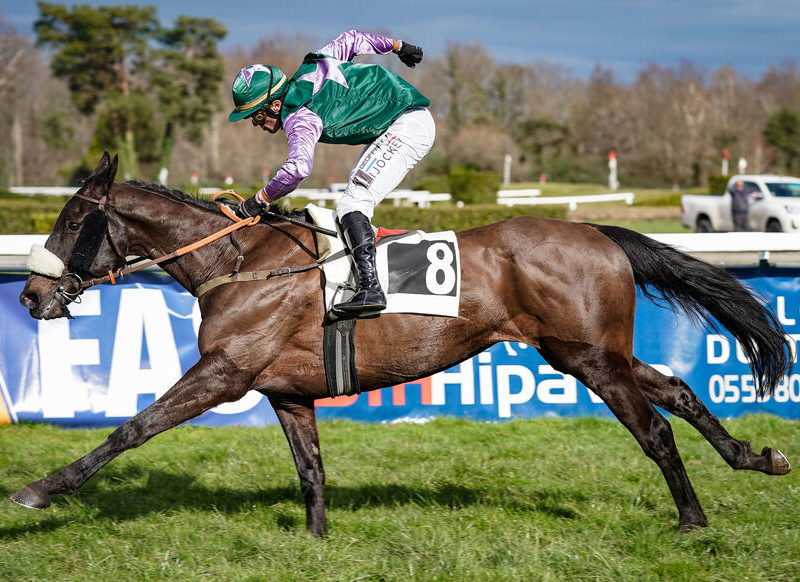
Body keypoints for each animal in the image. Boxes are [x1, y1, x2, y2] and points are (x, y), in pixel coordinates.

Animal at [9, 153, 792, 536]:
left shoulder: (224, 371)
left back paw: (691, 519)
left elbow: (134, 426)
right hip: (591, 352)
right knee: (680, 390)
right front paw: (316, 540)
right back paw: (757, 457)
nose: (30, 296)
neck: (239, 262)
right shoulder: (287, 390)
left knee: (654, 429)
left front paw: (39, 490)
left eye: (72, 220)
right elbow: (311, 470)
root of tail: (595, 231)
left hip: (587, 357)